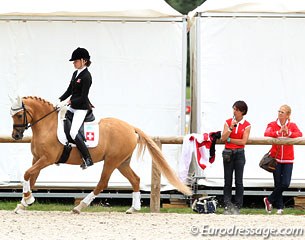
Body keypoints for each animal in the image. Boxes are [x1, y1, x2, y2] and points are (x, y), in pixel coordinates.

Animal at [10, 96, 190, 214]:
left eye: (19, 115)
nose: (16, 136)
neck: (47, 126)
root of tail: (131, 127)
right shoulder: (37, 159)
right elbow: (31, 178)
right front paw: (24, 203)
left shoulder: (47, 159)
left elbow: (26, 174)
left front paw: (28, 200)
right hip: (122, 162)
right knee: (135, 179)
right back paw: (133, 208)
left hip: (111, 161)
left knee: (103, 183)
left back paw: (80, 206)